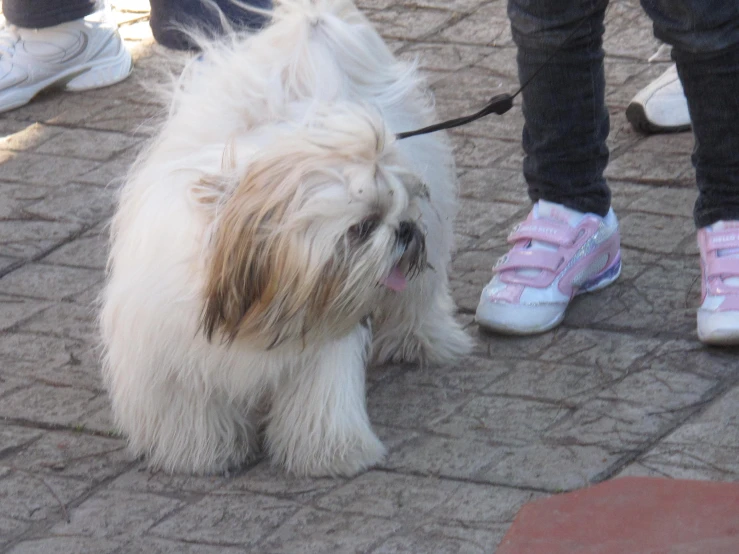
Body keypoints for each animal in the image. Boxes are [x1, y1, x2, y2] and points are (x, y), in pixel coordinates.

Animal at [99, 0, 474, 474]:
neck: (250, 304)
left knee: (416, 300)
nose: (405, 229)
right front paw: (200, 452)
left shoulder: (322, 334)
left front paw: (332, 452)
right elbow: (192, 406)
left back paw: (420, 341)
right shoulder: (169, 354)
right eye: (362, 227)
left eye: (401, 205)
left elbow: (320, 398)